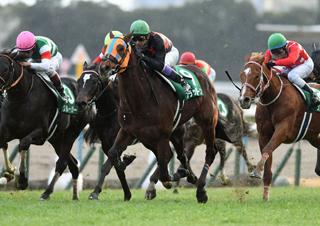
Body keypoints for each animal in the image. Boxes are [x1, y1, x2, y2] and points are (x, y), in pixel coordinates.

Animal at [0, 48, 94, 200]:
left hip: (72, 132)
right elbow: (9, 144)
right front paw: (12, 173)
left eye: (6, 69)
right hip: (57, 138)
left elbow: (23, 144)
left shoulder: (41, 133)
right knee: (73, 164)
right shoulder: (7, 131)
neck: (21, 97)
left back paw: (47, 192)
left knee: (62, 163)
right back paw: (75, 196)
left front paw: (21, 180)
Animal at [97, 31, 240, 203]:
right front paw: (96, 191)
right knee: (182, 155)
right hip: (168, 133)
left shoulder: (162, 137)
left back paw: (200, 190)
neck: (140, 98)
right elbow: (112, 155)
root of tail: (203, 76)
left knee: (210, 152)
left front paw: (174, 179)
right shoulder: (127, 131)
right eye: (105, 47)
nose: (104, 68)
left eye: (120, 48)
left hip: (207, 122)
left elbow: (165, 173)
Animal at [238, 53, 320, 201]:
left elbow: (268, 148)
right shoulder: (263, 134)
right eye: (242, 75)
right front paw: (265, 197)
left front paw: (256, 171)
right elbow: (267, 154)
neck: (273, 98)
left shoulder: (283, 130)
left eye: (257, 76)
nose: (243, 100)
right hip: (313, 135)